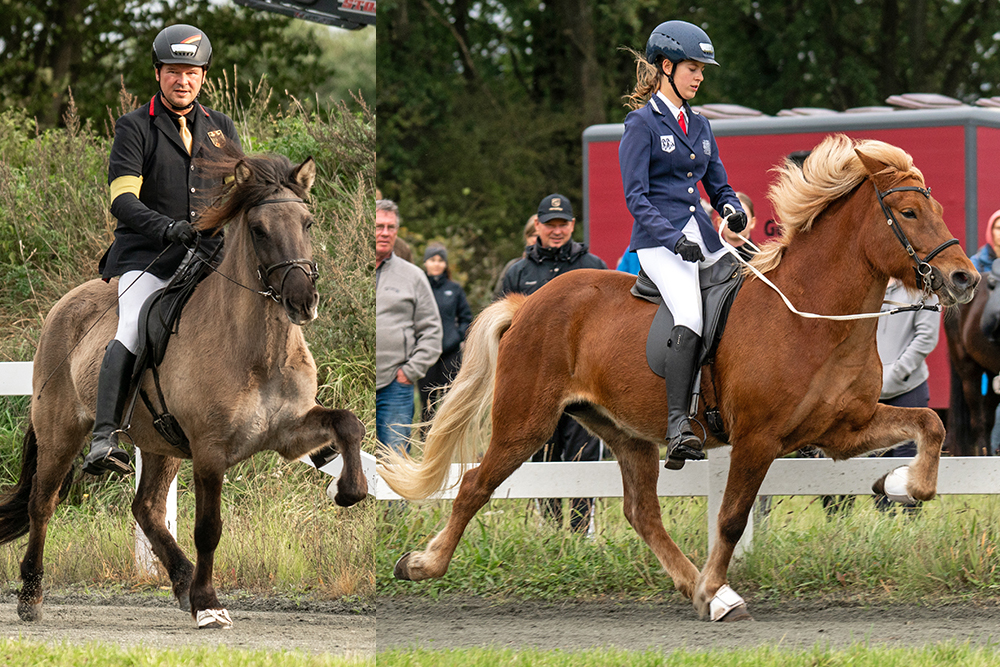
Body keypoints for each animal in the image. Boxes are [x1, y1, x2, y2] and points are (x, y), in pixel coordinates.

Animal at [0, 151, 368, 628]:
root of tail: (61, 307)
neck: (258, 349)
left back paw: (181, 581)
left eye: (308, 222)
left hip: (160, 444)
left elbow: (348, 423)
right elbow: (208, 528)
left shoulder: (288, 432)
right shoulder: (210, 450)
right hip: (61, 432)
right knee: (42, 504)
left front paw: (346, 489)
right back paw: (31, 595)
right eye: (258, 229)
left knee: (146, 508)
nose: (303, 301)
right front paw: (209, 603)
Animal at [380, 134, 976, 620]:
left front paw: (897, 484)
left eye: (936, 208)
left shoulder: (841, 431)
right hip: (525, 421)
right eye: (908, 212)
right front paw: (716, 585)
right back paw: (422, 565)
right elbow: (732, 518)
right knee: (475, 486)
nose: (964, 279)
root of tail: (530, 302)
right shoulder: (758, 438)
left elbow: (929, 424)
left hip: (624, 432)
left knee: (642, 513)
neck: (815, 315)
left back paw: (700, 590)